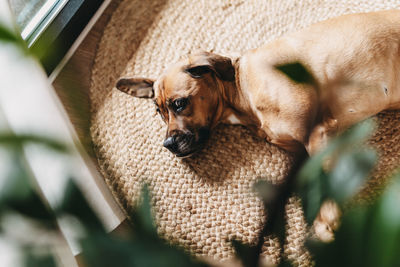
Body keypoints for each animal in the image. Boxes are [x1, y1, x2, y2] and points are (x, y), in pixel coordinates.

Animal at [115, 9, 400, 241]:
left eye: (179, 104)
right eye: (158, 111)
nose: (168, 144)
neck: (242, 88)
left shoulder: (317, 134)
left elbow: (322, 183)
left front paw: (327, 225)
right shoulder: (302, 150)